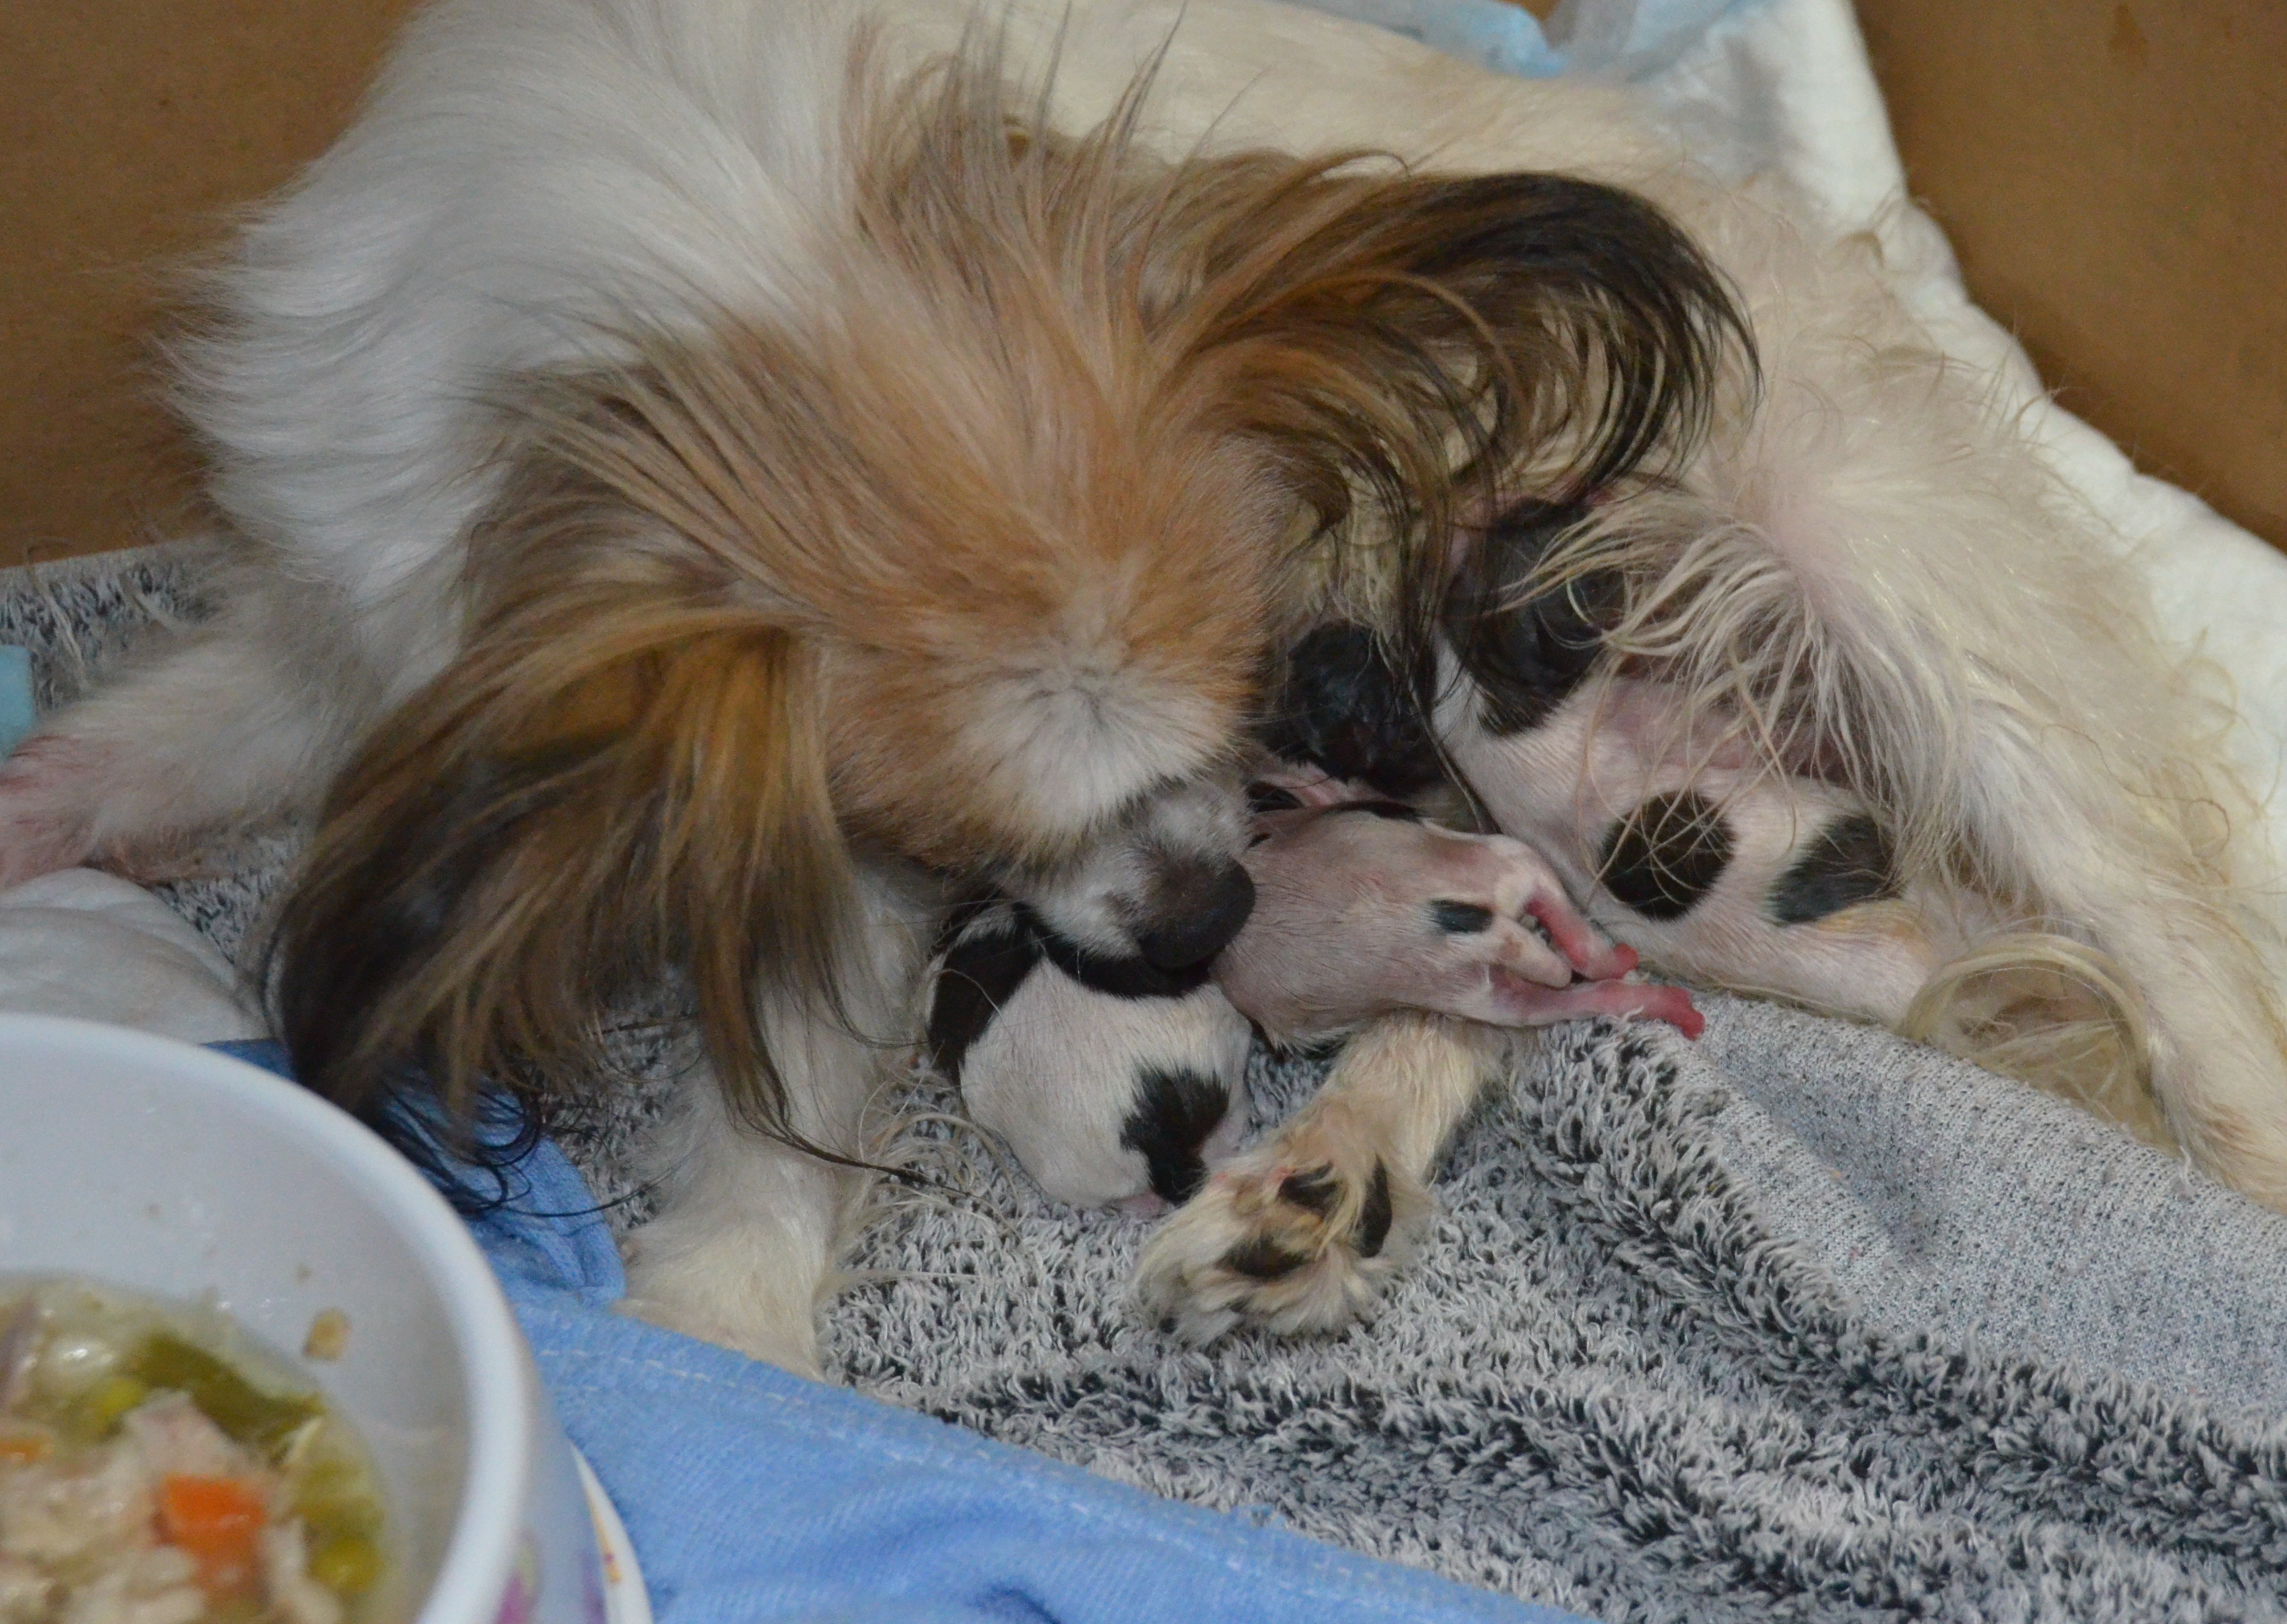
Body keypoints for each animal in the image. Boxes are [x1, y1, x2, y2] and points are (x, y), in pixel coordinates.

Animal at [0, 0, 1750, 1372]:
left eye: (1242, 690)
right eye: (958, 827)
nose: (1212, 917)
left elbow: (787, 1065)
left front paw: (718, 1324)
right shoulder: (374, 622)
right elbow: (159, 744)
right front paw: (32, 806)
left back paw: (1321, 1183)